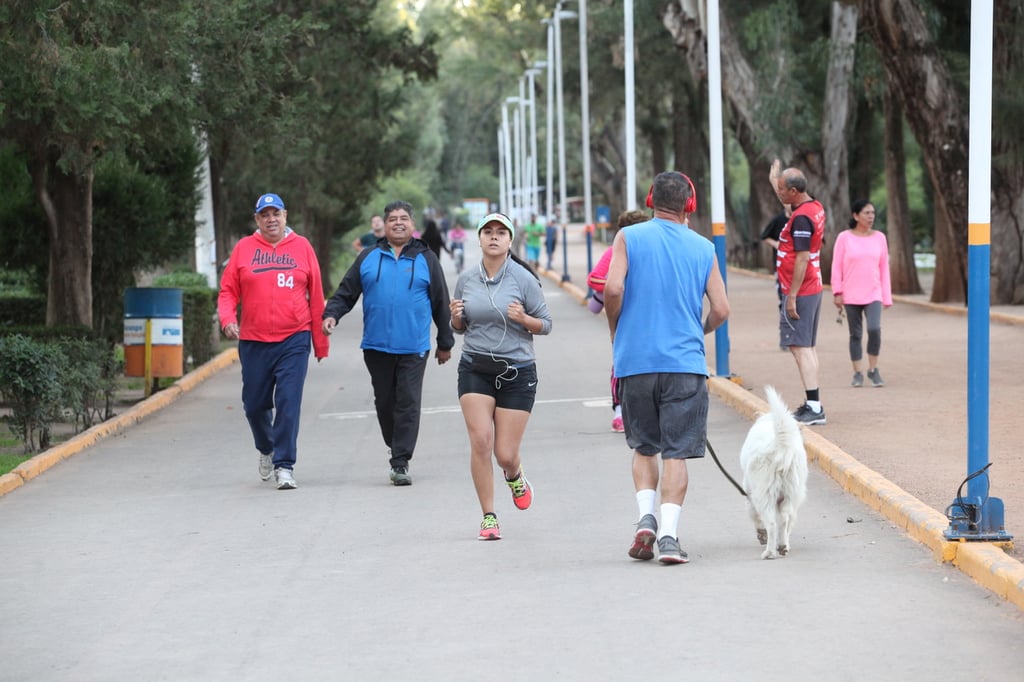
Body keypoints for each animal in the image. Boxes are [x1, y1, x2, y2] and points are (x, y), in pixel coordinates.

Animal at [741, 385, 802, 557]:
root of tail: (778, 445)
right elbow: (787, 525)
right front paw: (786, 543)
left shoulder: (750, 495)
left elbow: (755, 516)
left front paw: (761, 535)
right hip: (792, 493)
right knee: (785, 519)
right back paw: (782, 546)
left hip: (764, 494)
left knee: (772, 523)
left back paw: (769, 552)